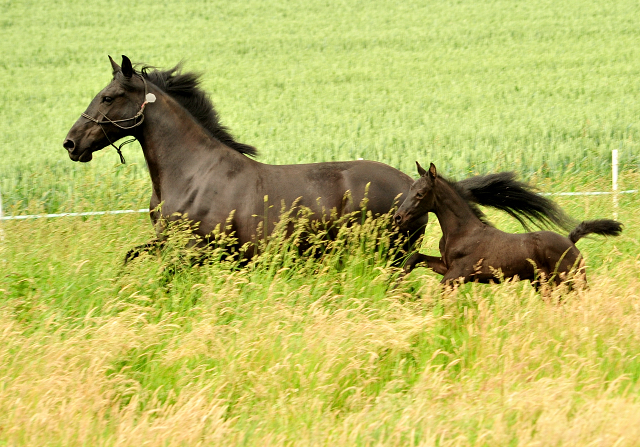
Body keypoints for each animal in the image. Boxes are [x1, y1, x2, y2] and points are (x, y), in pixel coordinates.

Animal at [392, 163, 624, 288]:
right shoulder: (445, 266)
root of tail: (570, 240)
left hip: (571, 280)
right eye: (411, 188)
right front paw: (396, 282)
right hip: (543, 285)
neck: (462, 232)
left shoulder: (458, 274)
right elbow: (414, 258)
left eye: (420, 193)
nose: (398, 218)